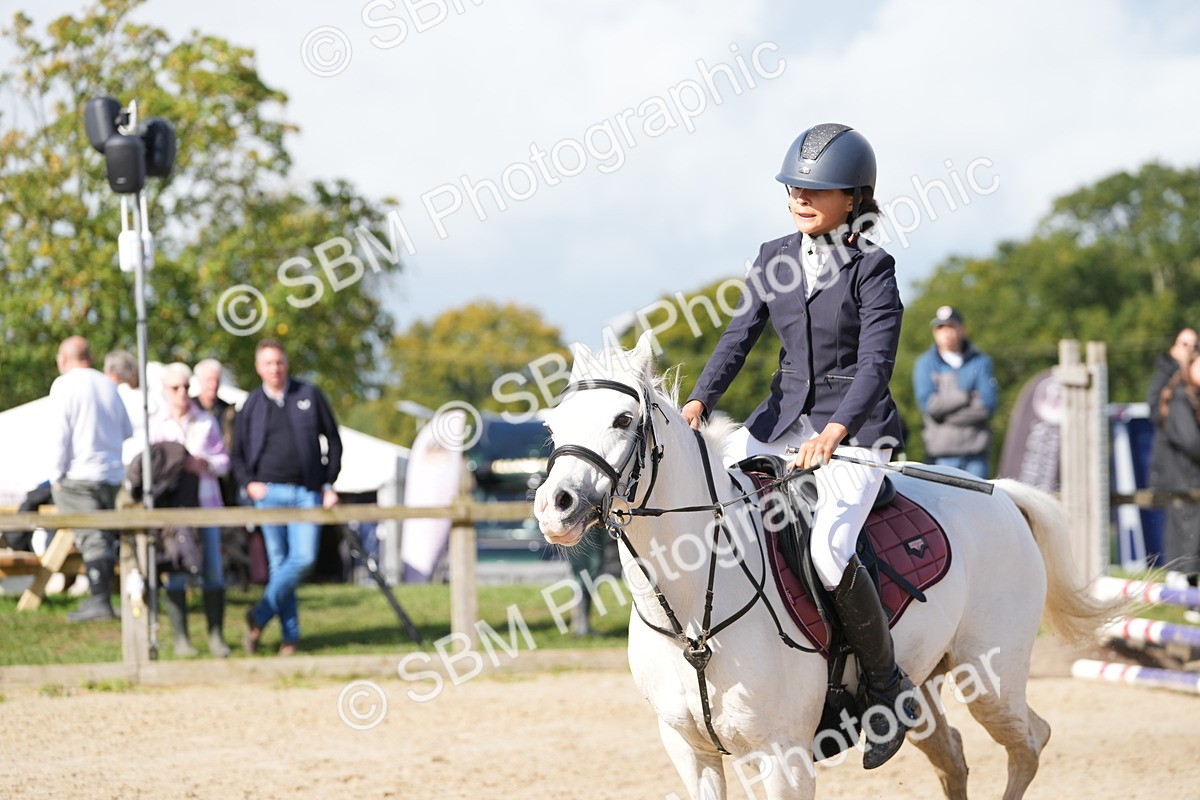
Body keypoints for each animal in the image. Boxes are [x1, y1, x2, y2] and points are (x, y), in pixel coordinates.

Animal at [533, 333, 1117, 800]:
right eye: (553, 426)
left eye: (623, 419)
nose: (554, 506)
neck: (694, 611)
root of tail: (1001, 494)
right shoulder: (691, 753)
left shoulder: (784, 756)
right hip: (926, 684)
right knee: (953, 756)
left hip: (991, 682)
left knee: (1029, 743)